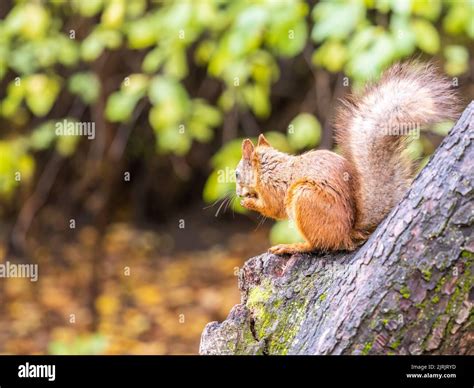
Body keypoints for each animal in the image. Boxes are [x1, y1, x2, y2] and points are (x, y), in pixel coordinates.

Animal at [236, 60, 460, 255]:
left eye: (237, 174)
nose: (238, 194)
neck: (268, 167)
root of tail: (349, 232)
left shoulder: (272, 188)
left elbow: (273, 209)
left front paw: (249, 203)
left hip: (304, 198)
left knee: (319, 244)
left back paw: (293, 246)